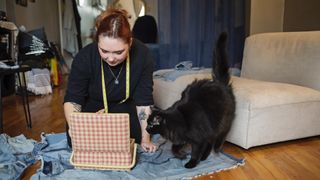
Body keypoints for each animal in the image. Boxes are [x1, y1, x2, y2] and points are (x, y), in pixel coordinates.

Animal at [146, 32, 235, 169]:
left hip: (221, 122)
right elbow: (174, 147)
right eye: (147, 123)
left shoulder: (198, 138)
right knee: (211, 140)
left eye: (150, 124)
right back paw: (204, 157)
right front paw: (181, 155)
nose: (146, 129)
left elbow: (195, 151)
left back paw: (215, 149)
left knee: (220, 135)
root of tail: (220, 83)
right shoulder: (183, 137)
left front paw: (191, 163)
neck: (178, 120)